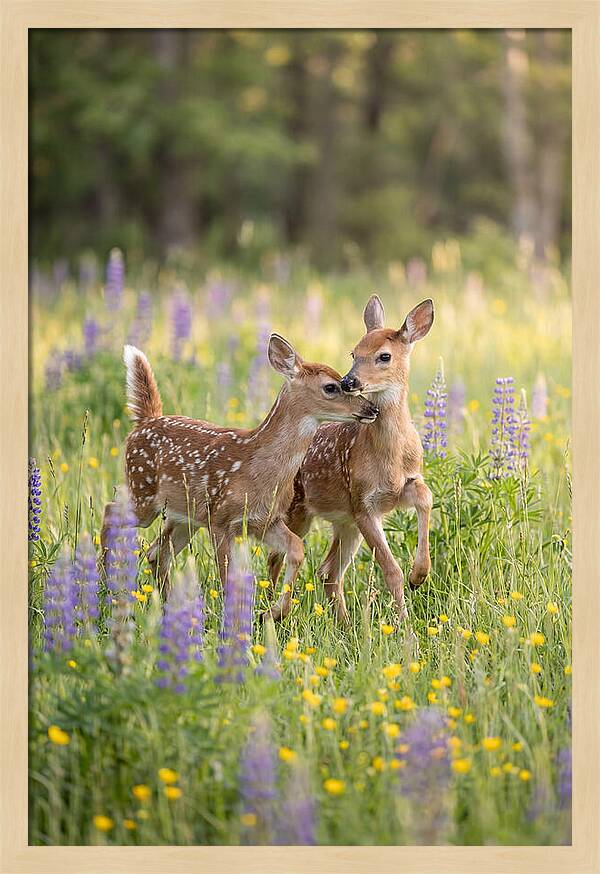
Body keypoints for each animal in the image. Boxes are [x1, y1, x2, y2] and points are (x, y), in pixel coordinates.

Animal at [100, 336, 378, 601]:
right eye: (331, 387)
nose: (372, 409)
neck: (257, 468)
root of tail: (145, 421)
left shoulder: (265, 520)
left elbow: (297, 549)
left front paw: (275, 612)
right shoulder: (221, 520)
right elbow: (228, 579)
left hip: (184, 516)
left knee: (156, 553)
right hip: (143, 492)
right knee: (111, 510)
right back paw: (104, 582)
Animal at [267, 296, 434, 623]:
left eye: (384, 356)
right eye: (354, 352)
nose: (348, 381)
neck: (390, 457)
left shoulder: (399, 489)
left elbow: (425, 496)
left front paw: (419, 574)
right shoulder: (362, 503)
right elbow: (391, 571)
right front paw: (405, 625)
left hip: (344, 522)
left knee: (328, 571)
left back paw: (344, 624)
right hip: (298, 511)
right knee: (276, 559)